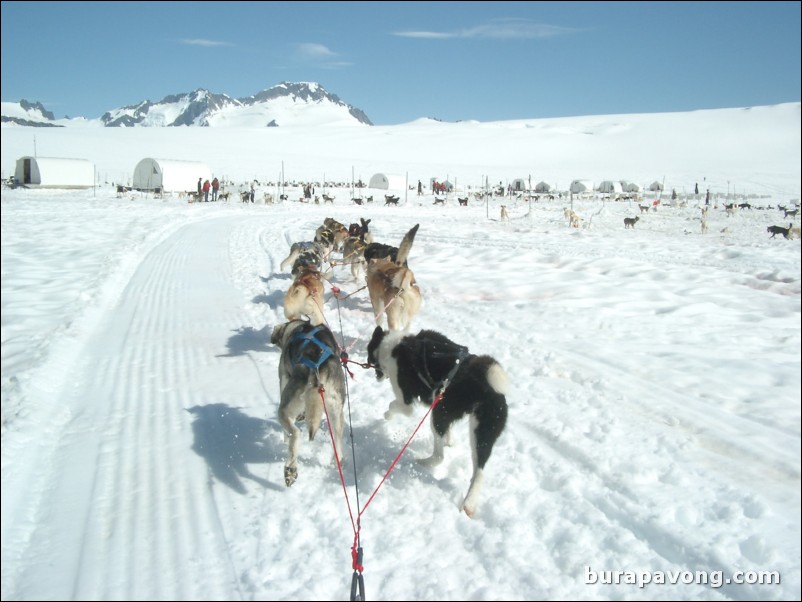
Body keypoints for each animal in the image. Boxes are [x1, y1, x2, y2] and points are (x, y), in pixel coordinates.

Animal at [270, 322, 342, 486]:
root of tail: (317, 367)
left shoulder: (283, 378)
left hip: (284, 410)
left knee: (296, 433)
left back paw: (290, 469)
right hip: (336, 413)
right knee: (338, 442)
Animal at [368, 324, 506, 516]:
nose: (371, 370)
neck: (393, 346)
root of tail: (486, 382)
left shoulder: (405, 402)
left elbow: (394, 406)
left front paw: (386, 416)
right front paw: (450, 440)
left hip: (438, 414)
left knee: (440, 456)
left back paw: (424, 462)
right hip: (481, 432)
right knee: (479, 472)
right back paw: (469, 503)